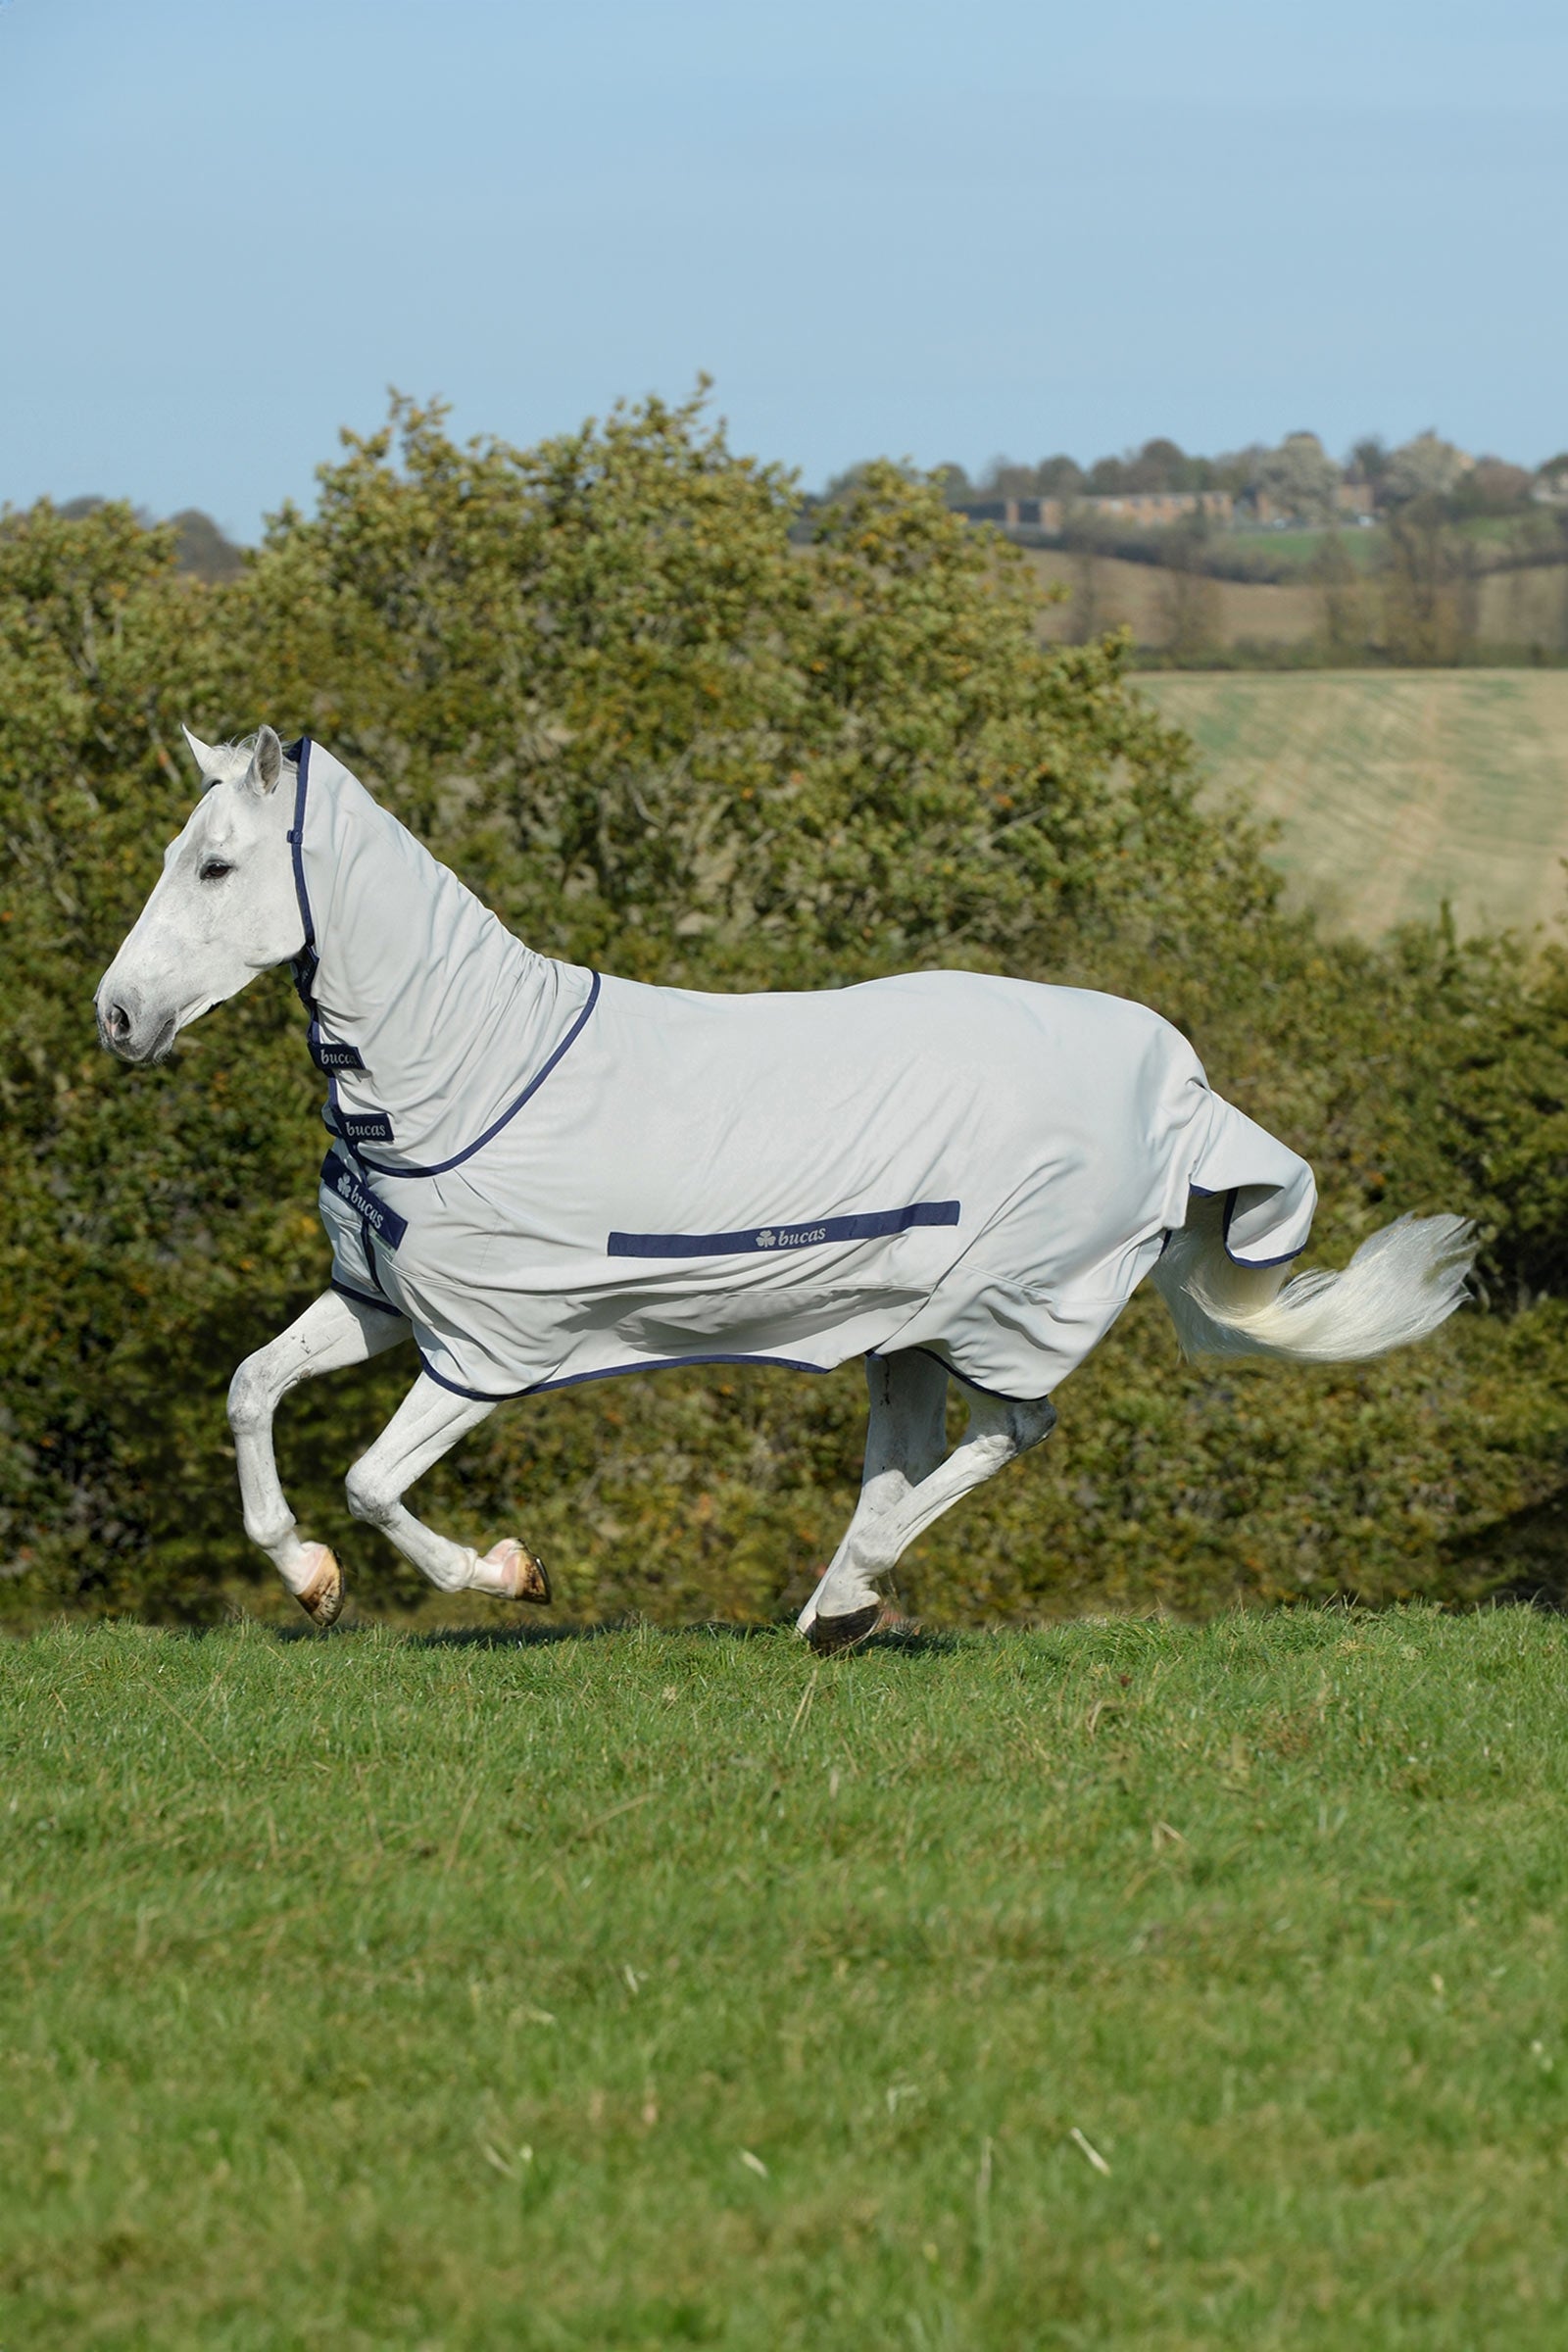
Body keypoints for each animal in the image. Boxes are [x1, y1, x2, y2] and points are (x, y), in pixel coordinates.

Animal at [95, 725, 1475, 1649]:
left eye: (214, 867)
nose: (116, 1016)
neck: (467, 1072)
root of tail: (1182, 1088)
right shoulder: (382, 1301)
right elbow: (250, 1391)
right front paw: (309, 1578)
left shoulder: (494, 1344)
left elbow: (375, 1482)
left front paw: (512, 1573)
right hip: (907, 1326)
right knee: (909, 1454)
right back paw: (833, 1608)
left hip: (1004, 1306)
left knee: (1011, 1431)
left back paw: (847, 1599)